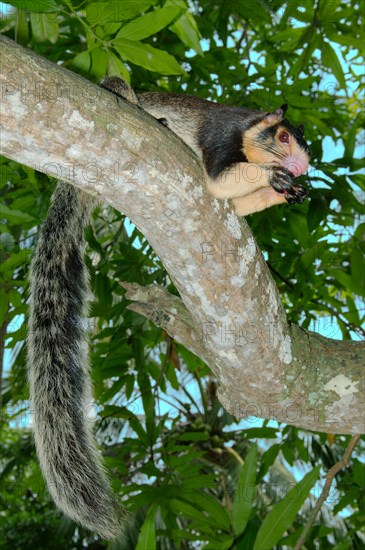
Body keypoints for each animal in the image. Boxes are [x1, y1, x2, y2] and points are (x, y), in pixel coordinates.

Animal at [27, 77, 310, 540]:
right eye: (284, 137)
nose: (303, 168)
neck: (249, 133)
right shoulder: (220, 135)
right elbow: (218, 180)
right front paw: (274, 177)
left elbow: (236, 203)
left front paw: (289, 192)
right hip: (118, 92)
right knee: (117, 85)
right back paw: (144, 111)